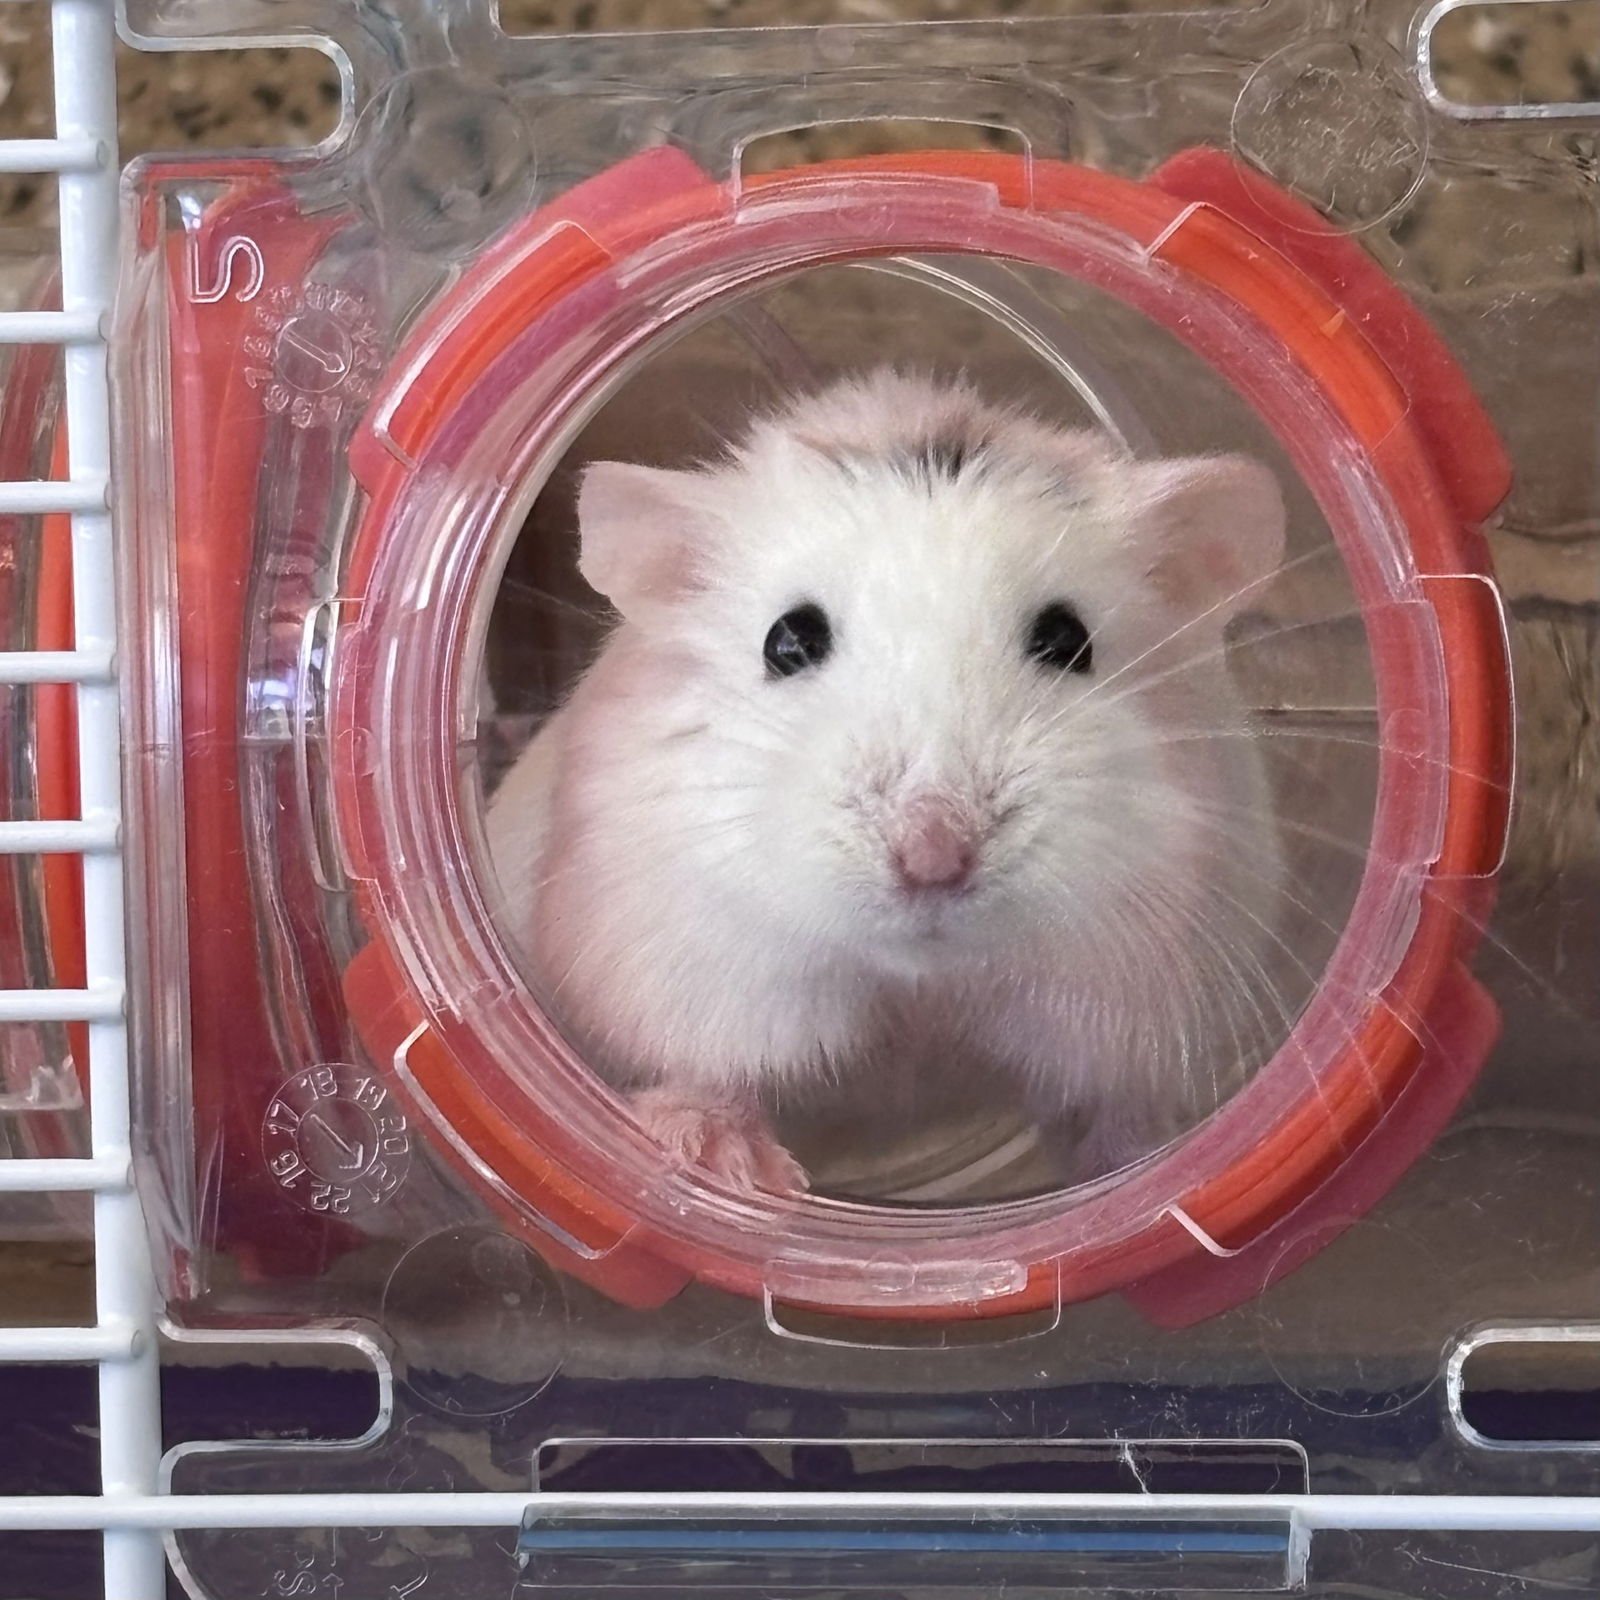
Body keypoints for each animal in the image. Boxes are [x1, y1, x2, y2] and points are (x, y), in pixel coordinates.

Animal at [486, 370, 1288, 1194]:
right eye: (788, 641)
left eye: (1068, 640)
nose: (934, 859)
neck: (920, 989)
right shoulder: (687, 964)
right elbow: (707, 1071)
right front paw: (735, 1166)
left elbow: (1104, 1110)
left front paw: (1159, 1167)